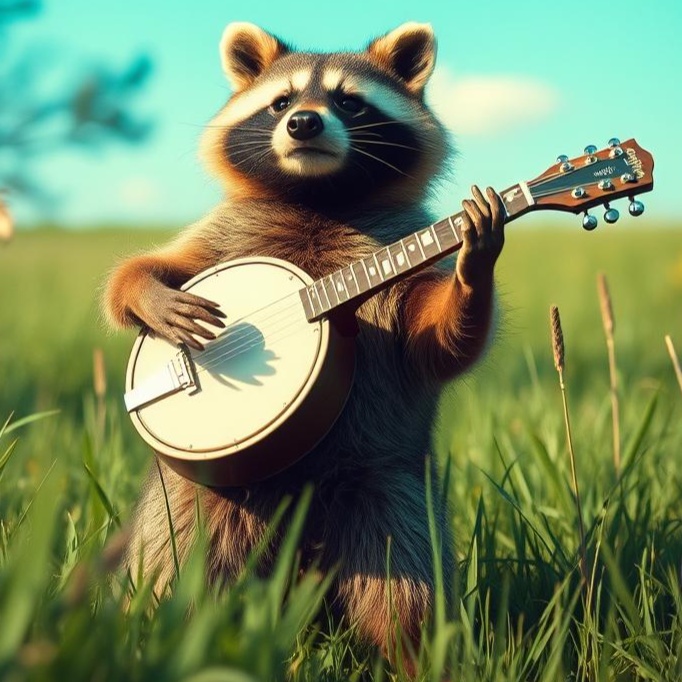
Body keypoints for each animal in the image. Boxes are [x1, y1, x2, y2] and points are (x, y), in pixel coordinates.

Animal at [104, 21, 505, 672]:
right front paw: (148, 295)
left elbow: (437, 341)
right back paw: (159, 641)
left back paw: (422, 662)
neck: (318, 196)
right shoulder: (221, 235)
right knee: (177, 572)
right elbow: (138, 274)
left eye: (349, 102)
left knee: (407, 596)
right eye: (281, 102)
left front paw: (474, 267)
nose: (304, 124)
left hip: (388, 491)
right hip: (195, 500)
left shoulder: (401, 260)